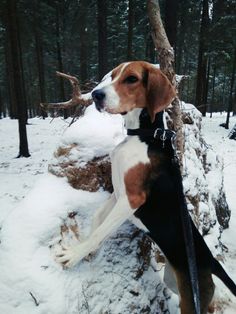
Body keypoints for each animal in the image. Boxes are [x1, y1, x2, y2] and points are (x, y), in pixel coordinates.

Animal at [56, 61, 236, 314]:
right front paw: (88, 248)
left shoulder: (132, 199)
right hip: (174, 282)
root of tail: (211, 261)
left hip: (191, 299)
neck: (145, 136)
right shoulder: (119, 193)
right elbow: (98, 219)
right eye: (113, 75)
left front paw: (75, 254)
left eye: (131, 79)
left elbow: (101, 230)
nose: (95, 95)